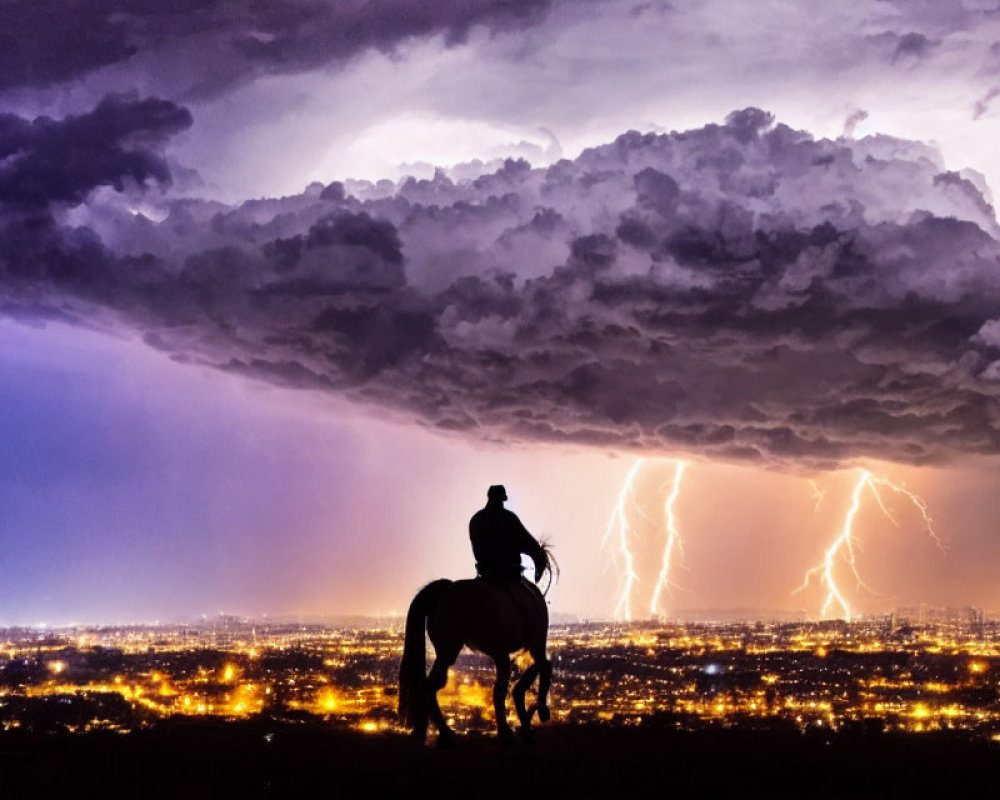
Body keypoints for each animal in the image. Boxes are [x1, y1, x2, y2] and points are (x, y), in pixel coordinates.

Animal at [396, 548, 556, 748]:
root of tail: (445, 591)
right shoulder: (534, 641)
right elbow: (544, 666)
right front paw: (538, 712)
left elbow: (533, 670)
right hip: (480, 649)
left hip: (449, 650)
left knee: (432, 684)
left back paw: (447, 734)